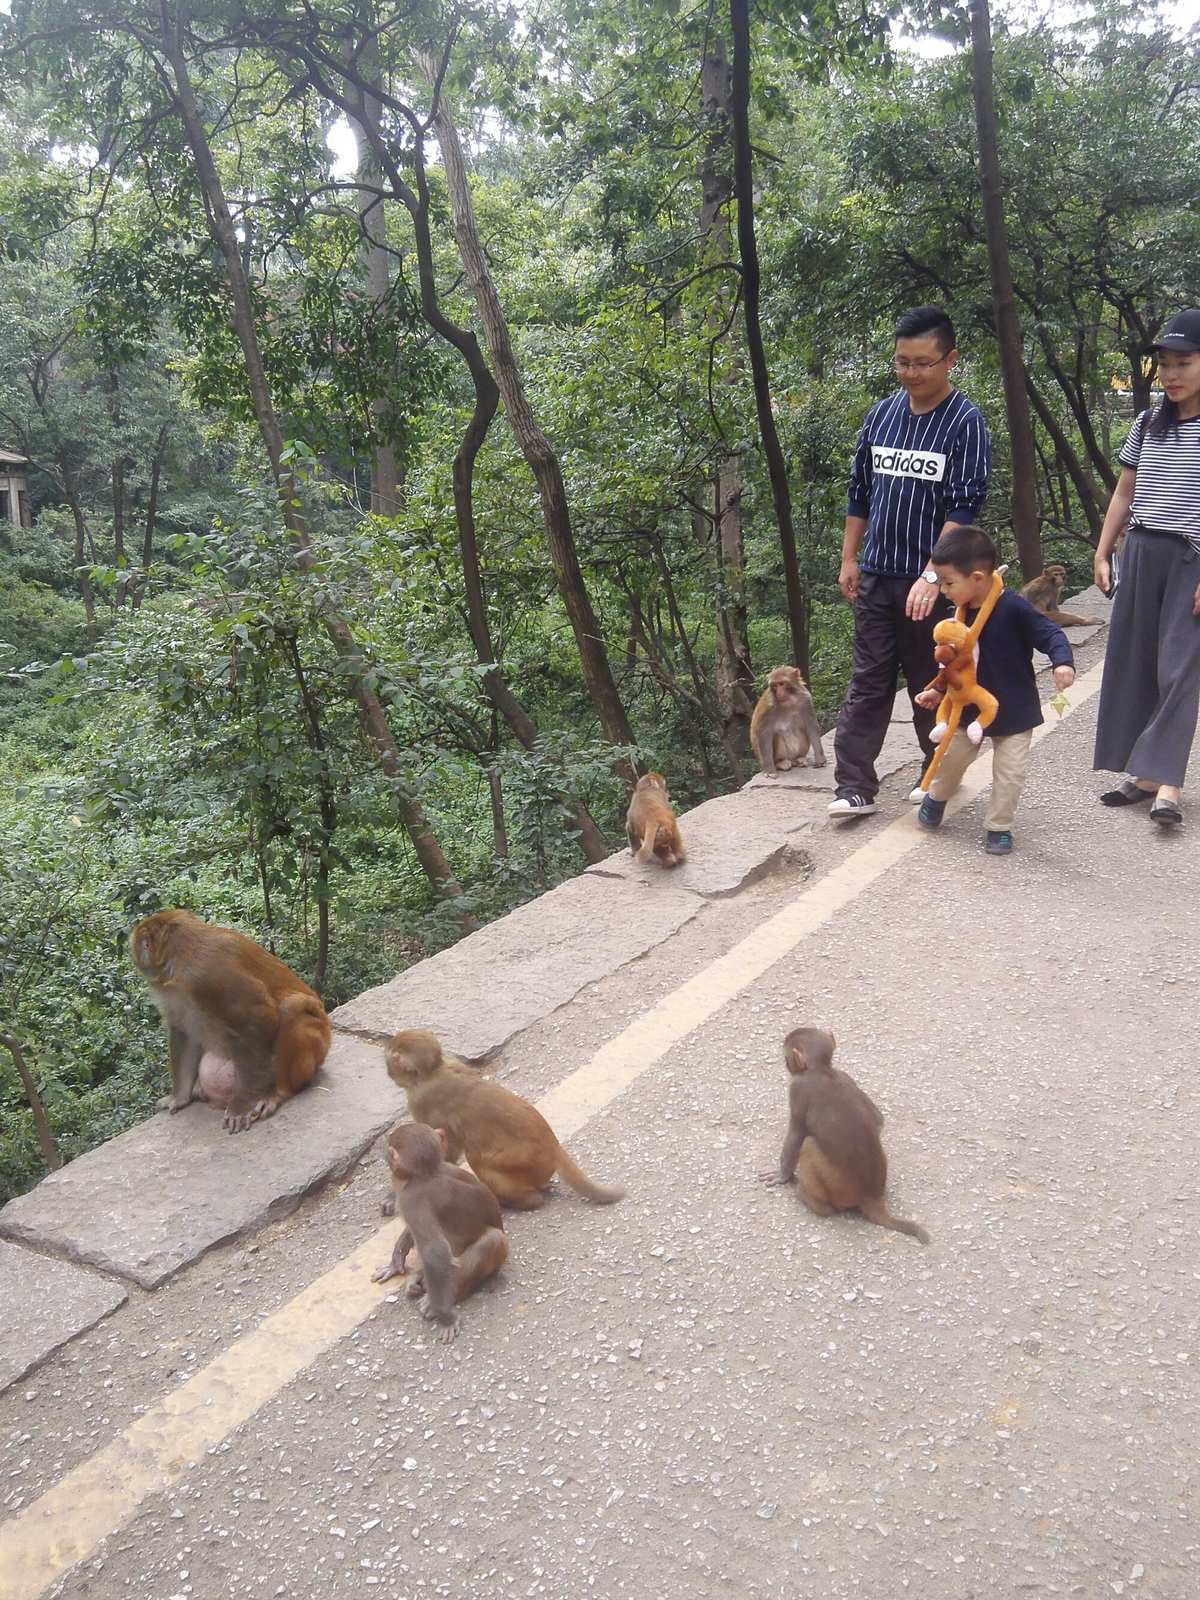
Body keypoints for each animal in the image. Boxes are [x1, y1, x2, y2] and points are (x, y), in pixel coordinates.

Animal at [129, 908, 334, 1132]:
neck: (182, 951)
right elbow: (185, 1034)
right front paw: (179, 1098)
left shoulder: (206, 975)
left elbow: (260, 1018)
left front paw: (241, 1106)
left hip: (319, 1045)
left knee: (291, 1011)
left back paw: (277, 1093)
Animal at [374, 1120, 508, 1344]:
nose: (388, 1160)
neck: (431, 1171)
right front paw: (396, 1260)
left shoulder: (411, 1199)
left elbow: (435, 1252)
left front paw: (446, 1317)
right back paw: (419, 1278)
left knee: (493, 1240)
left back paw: (442, 1297)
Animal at [385, 1030, 630, 1203]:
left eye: (390, 1062)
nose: (388, 1072)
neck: (433, 1072)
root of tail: (554, 1148)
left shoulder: (421, 1102)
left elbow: (444, 1147)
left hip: (523, 1162)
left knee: (477, 1157)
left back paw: (520, 1201)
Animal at [761, 1030, 928, 1241]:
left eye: (786, 1058)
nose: (786, 1064)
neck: (823, 1070)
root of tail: (871, 1196)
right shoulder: (846, 1076)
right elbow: (878, 1119)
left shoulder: (798, 1090)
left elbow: (796, 1136)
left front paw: (782, 1176)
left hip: (837, 1187)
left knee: (808, 1143)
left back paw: (812, 1201)